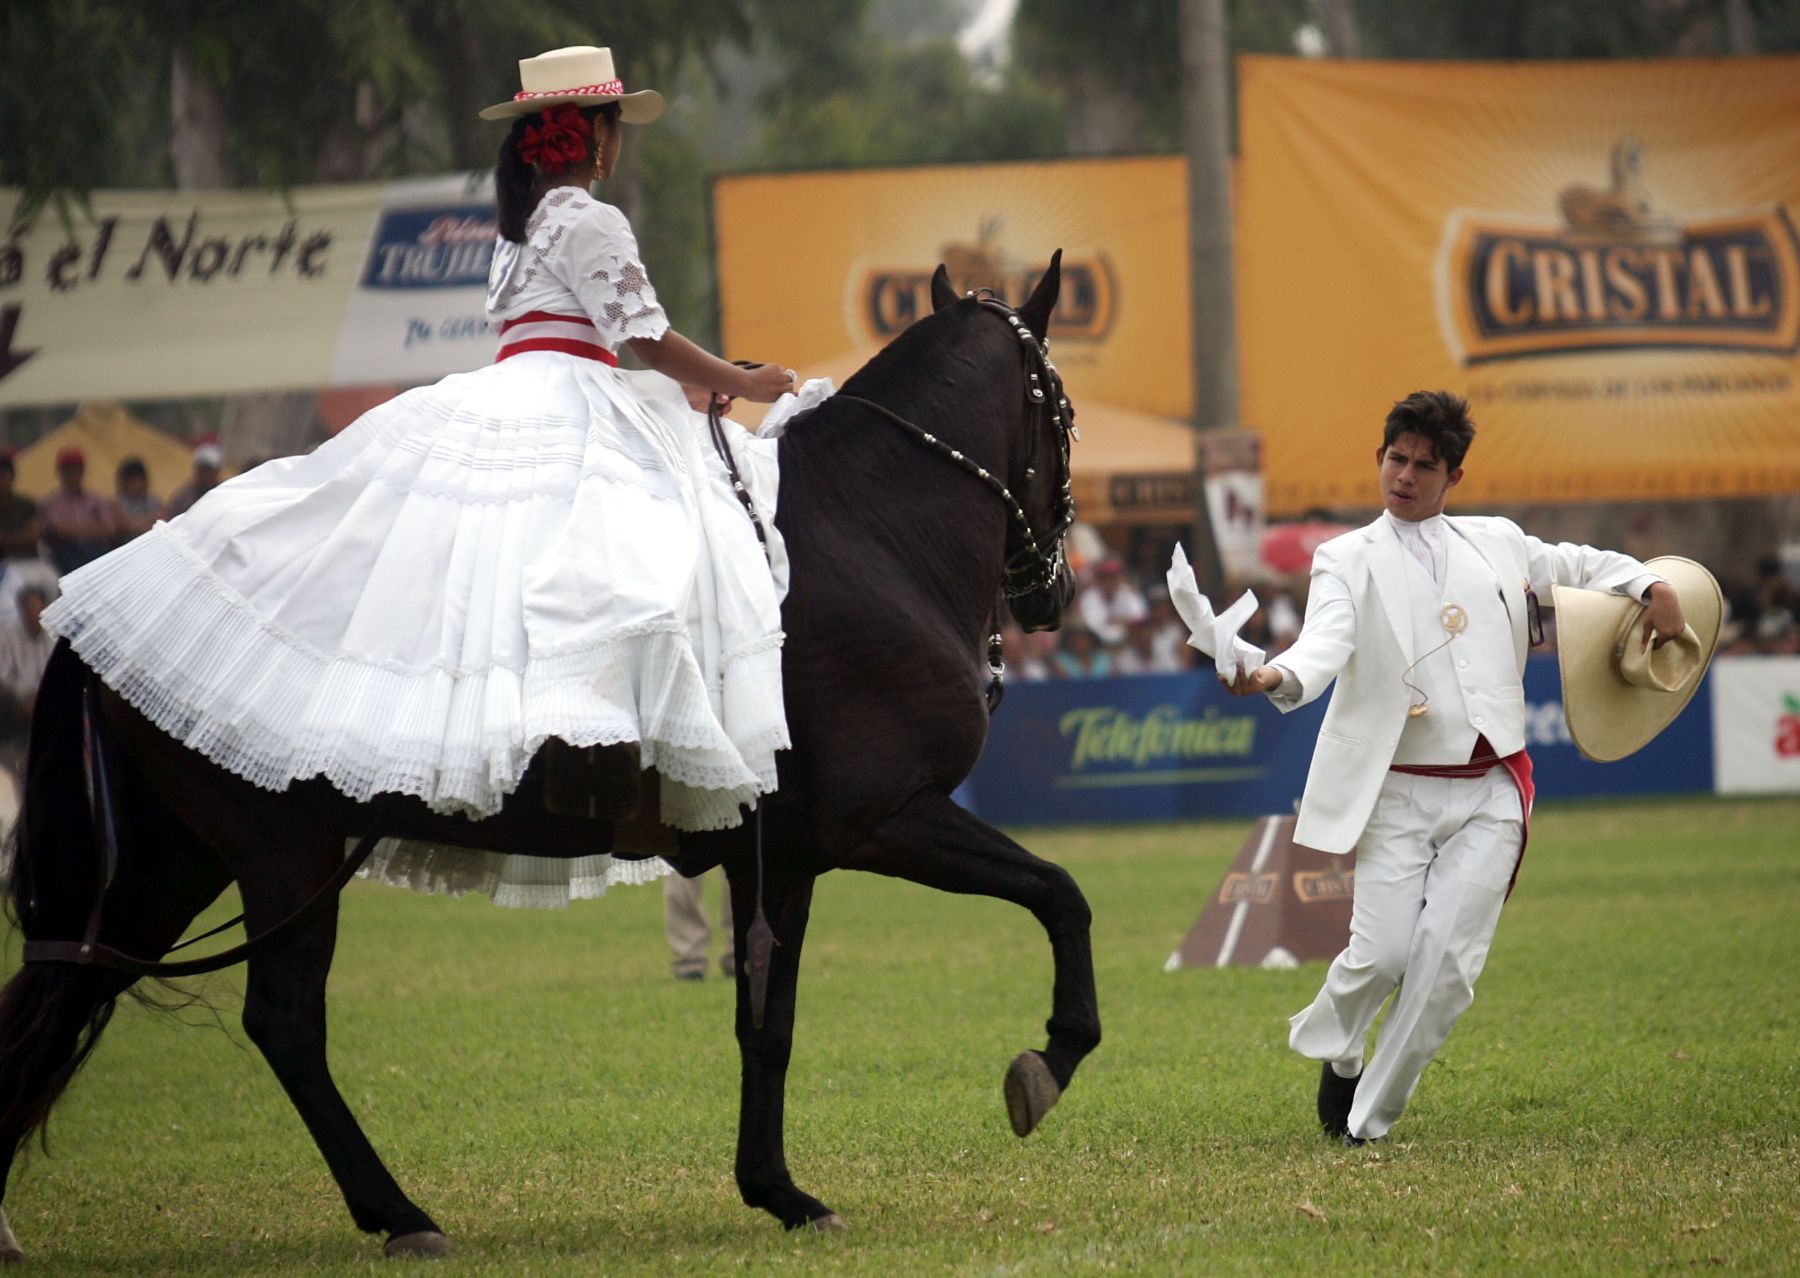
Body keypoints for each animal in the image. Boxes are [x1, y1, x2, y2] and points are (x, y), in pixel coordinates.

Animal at [0, 257, 1094, 1260]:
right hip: (281, 851)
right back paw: (399, 1215)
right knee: (283, 1022)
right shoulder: (885, 820)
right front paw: (1052, 1056)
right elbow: (1059, 894)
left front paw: (777, 1190)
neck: (870, 529)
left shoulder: (778, 855)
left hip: (168, 865)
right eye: (1068, 415)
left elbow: (767, 1022)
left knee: (57, 997)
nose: (1050, 594)